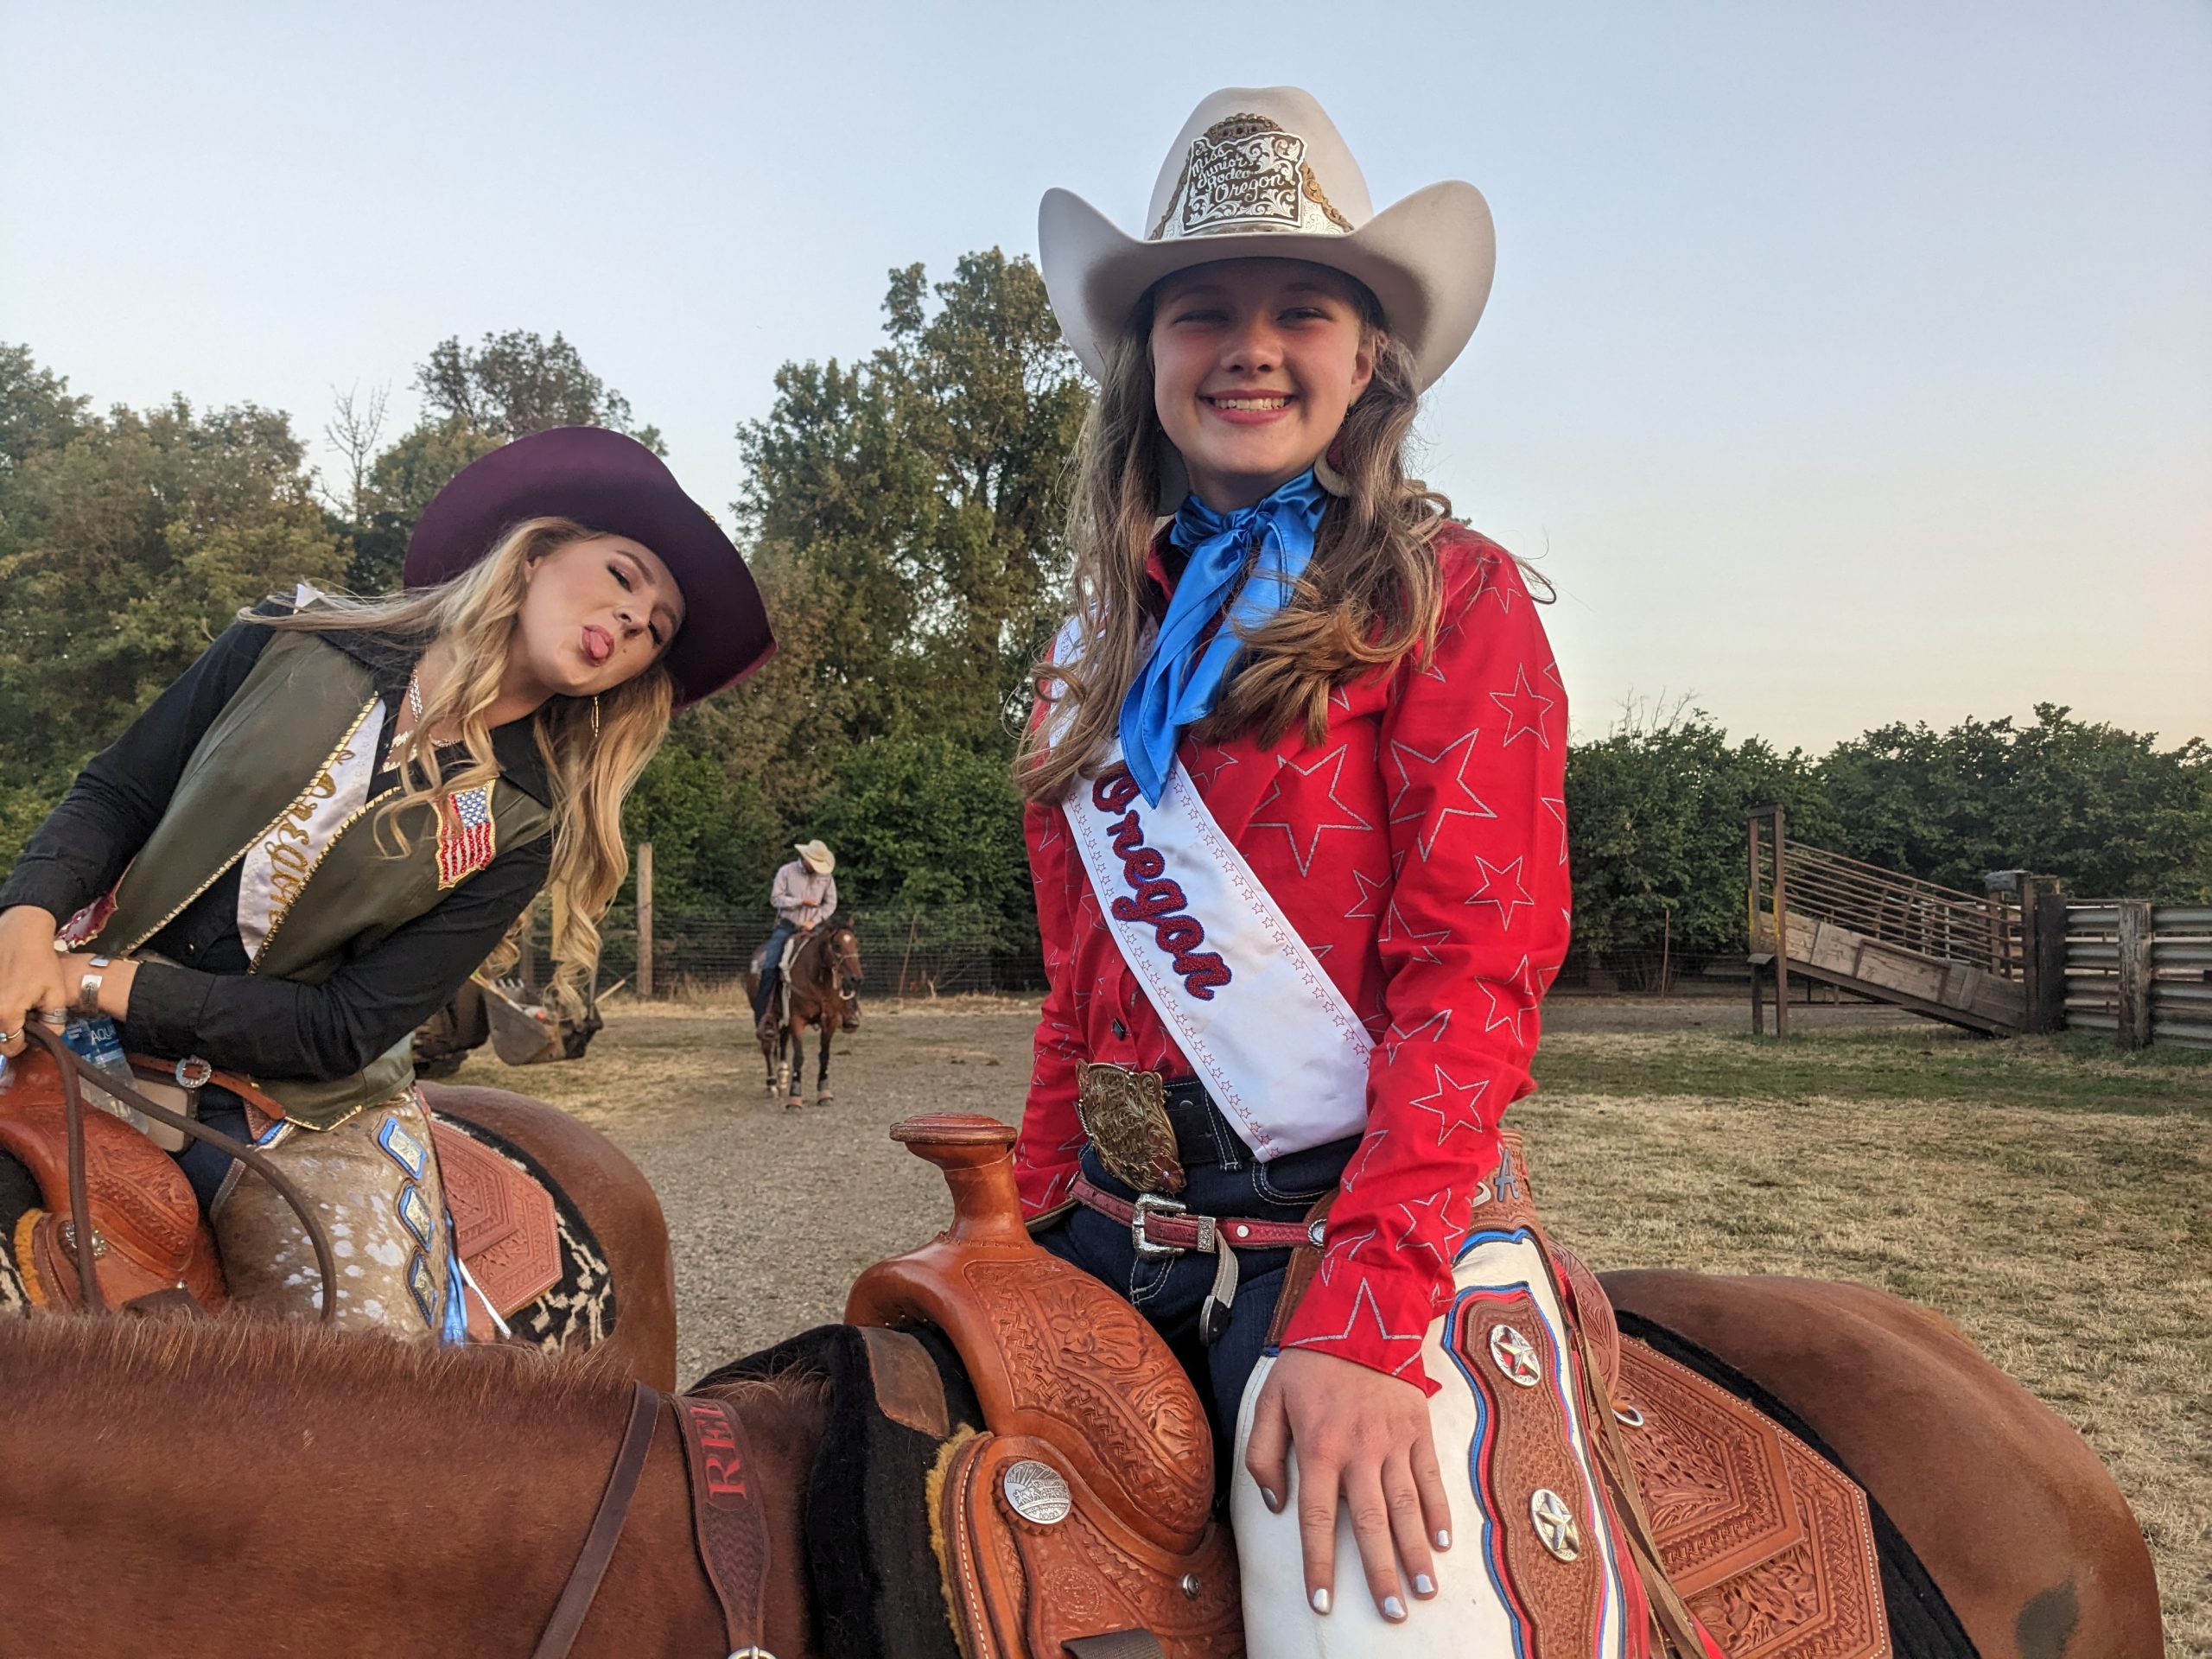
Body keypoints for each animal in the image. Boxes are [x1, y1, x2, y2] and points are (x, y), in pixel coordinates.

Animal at [744, 923, 863, 1110]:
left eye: (856, 944)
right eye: (837, 946)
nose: (856, 979)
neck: (816, 981)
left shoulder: (829, 1021)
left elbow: (824, 1055)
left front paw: (824, 1094)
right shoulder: (797, 1020)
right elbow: (799, 1057)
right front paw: (795, 1098)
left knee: (782, 1041)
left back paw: (782, 1078)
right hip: (763, 1015)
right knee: (767, 1046)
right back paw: (771, 1085)